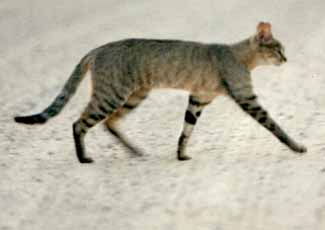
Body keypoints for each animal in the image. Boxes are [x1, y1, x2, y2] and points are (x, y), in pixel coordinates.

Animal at [13, 21, 306, 162]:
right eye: (278, 49)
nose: (286, 59)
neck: (240, 56)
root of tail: (97, 49)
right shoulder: (247, 98)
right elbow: (275, 126)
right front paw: (297, 147)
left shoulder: (198, 99)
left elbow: (186, 131)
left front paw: (181, 155)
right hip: (113, 95)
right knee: (79, 123)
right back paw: (84, 158)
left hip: (133, 96)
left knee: (109, 123)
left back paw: (135, 152)